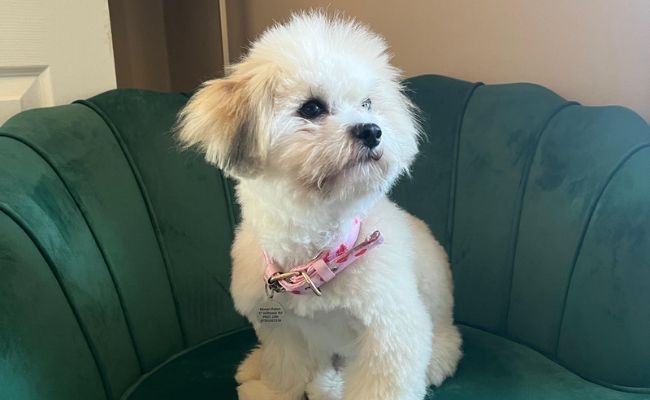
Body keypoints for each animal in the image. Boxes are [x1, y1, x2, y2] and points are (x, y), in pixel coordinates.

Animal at [177, 11, 458, 400]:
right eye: (311, 108)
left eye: (367, 104)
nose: (372, 130)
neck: (316, 257)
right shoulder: (283, 331)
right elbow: (285, 370)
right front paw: (273, 391)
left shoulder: (389, 334)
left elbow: (381, 383)